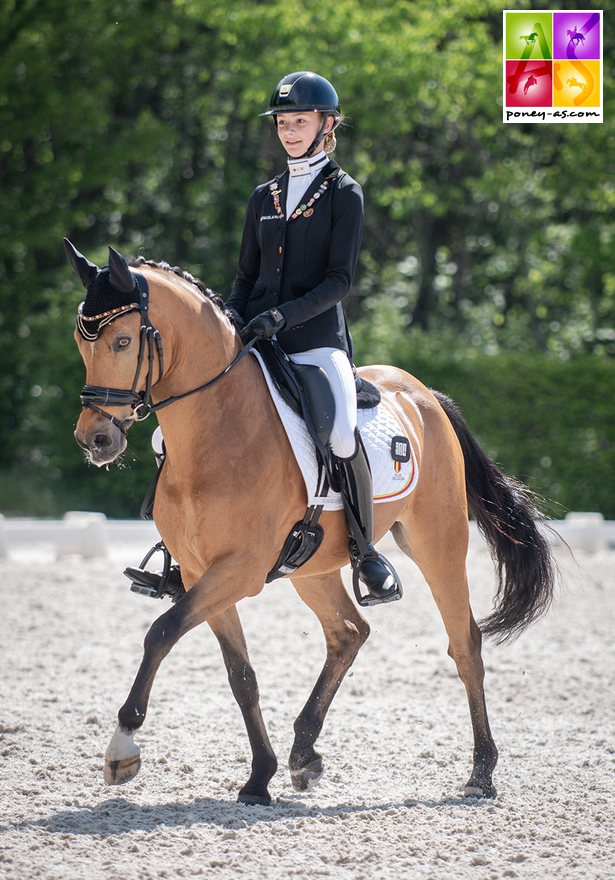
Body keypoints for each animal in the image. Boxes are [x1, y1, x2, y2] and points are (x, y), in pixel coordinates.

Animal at [65, 239, 556, 804]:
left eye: (123, 341)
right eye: (81, 345)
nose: (95, 440)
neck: (217, 428)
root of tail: (423, 393)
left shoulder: (239, 570)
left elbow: (161, 632)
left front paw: (122, 746)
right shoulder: (200, 571)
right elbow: (240, 674)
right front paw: (260, 776)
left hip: (439, 542)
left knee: (465, 644)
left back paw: (481, 771)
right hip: (313, 566)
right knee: (349, 632)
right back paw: (304, 754)